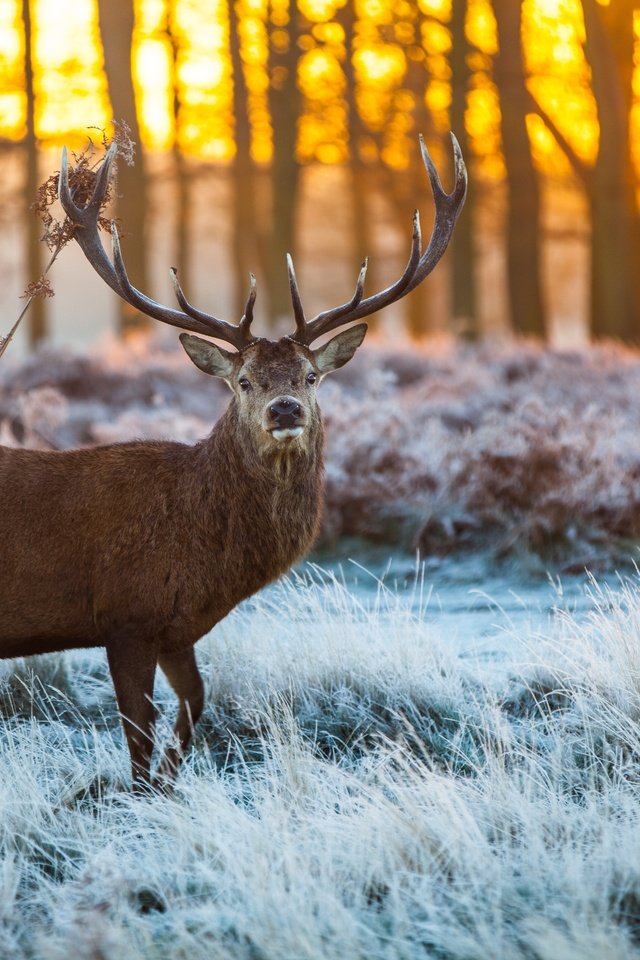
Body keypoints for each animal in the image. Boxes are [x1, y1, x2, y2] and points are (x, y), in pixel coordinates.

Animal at [0, 137, 464, 796]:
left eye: (310, 375)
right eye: (244, 380)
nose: (285, 408)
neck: (206, 562)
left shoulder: (176, 630)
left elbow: (195, 704)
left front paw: (169, 783)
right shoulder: (126, 614)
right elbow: (137, 734)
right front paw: (141, 792)